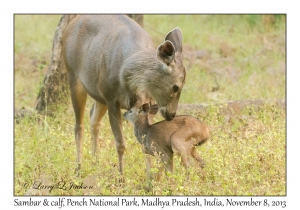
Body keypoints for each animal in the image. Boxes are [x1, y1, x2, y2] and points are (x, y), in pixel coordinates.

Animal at [61, 15, 185, 176]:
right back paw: (79, 168)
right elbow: (120, 144)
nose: (171, 115)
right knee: (78, 126)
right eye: (176, 86)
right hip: (74, 75)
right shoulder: (112, 99)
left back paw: (96, 163)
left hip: (99, 92)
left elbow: (145, 141)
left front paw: (150, 178)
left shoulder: (147, 103)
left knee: (93, 119)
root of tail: (72, 22)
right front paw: (121, 177)